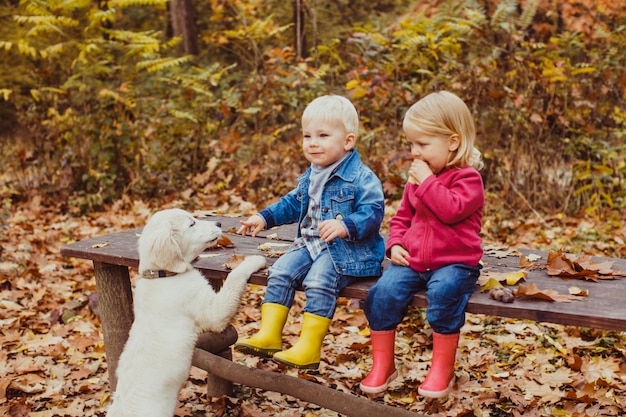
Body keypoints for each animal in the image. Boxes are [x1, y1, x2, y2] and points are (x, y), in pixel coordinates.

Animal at [107, 208, 264, 416]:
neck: (161, 275)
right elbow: (234, 277)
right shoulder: (212, 312)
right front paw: (253, 260)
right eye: (192, 224)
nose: (219, 224)